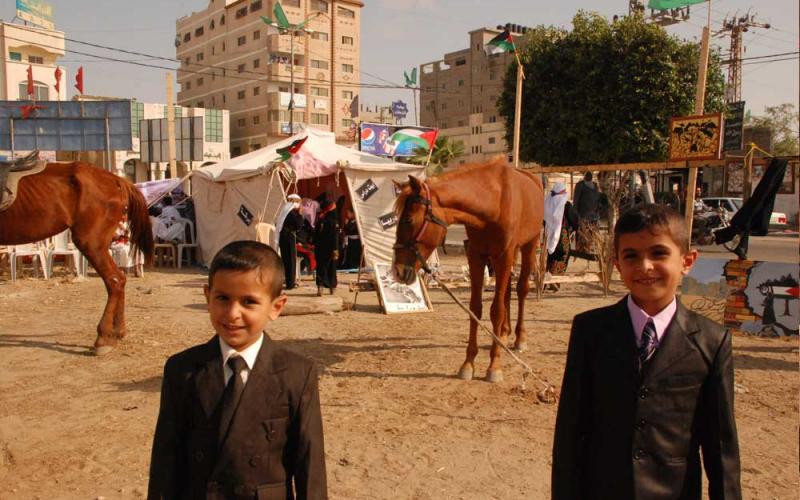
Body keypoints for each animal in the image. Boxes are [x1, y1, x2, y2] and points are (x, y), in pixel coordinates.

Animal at [0, 162, 153, 354]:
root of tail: (117, 180)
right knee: (120, 279)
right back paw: (118, 331)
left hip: (91, 243)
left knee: (114, 280)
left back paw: (104, 337)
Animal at [394, 160, 544, 382]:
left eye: (408, 221)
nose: (397, 271)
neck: (493, 201)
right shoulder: (476, 256)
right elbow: (475, 308)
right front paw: (468, 363)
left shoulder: (503, 256)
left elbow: (496, 310)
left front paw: (494, 366)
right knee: (507, 292)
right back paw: (503, 334)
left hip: (529, 246)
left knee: (521, 289)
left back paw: (519, 338)